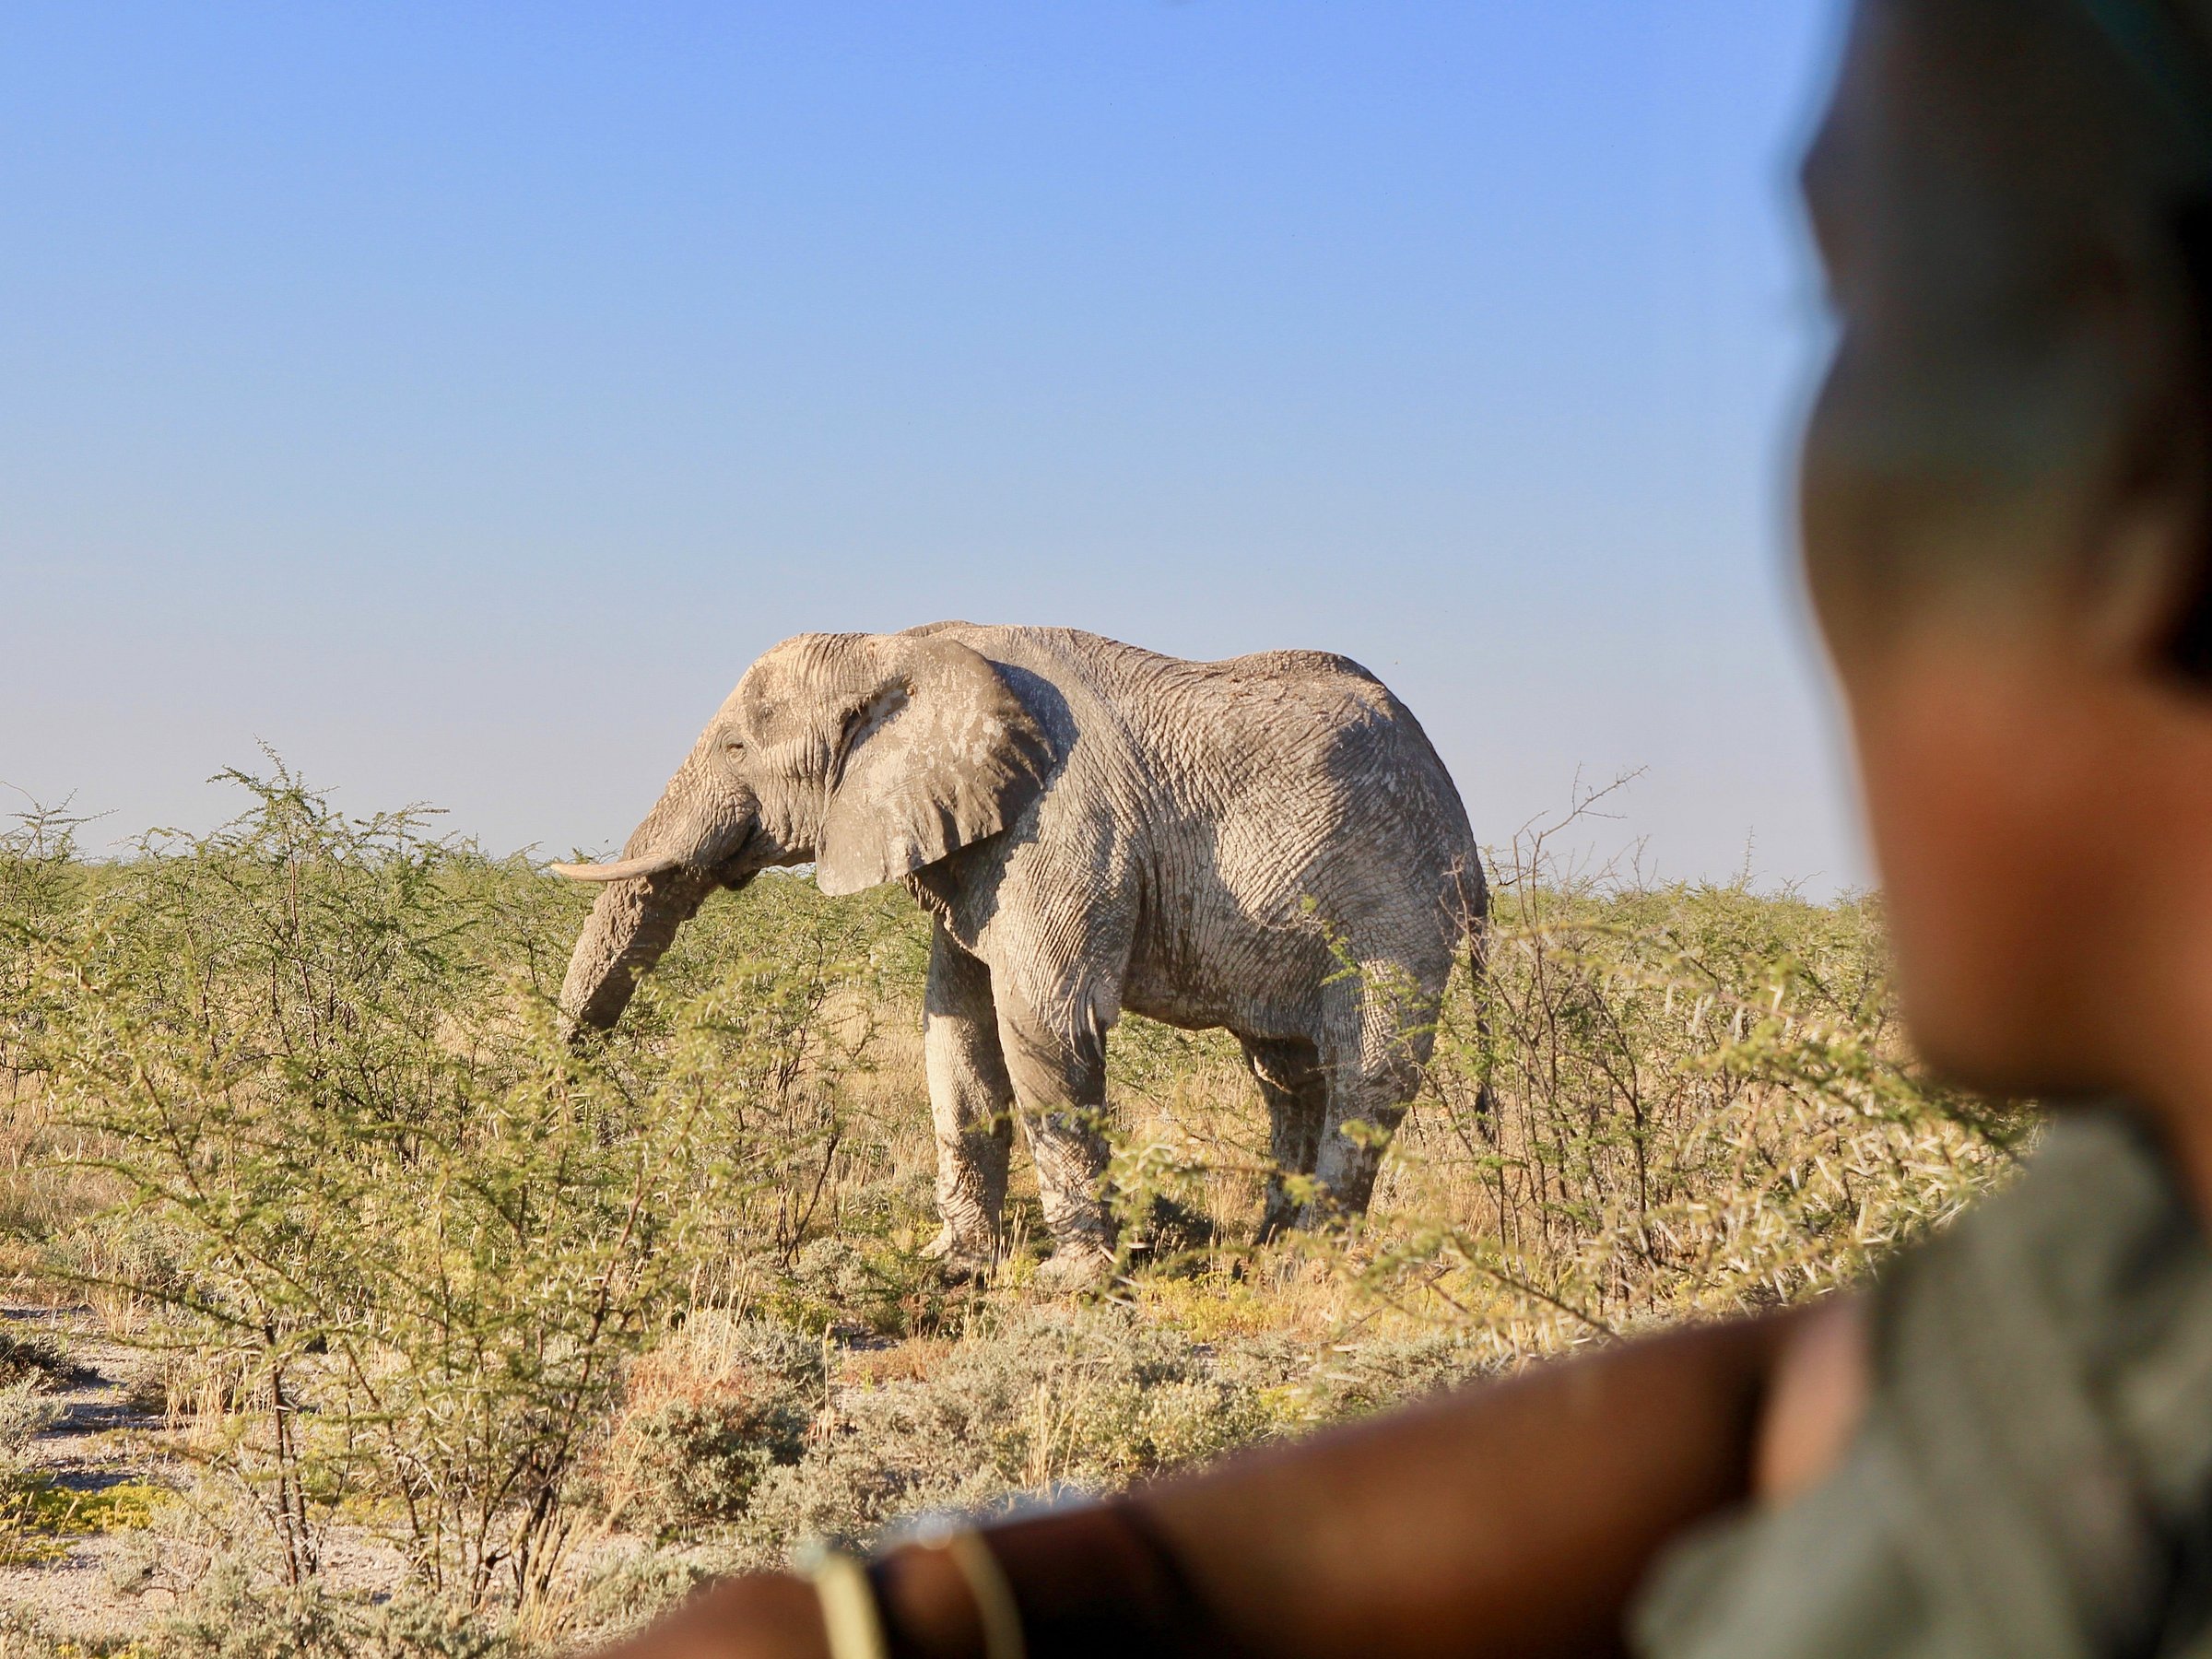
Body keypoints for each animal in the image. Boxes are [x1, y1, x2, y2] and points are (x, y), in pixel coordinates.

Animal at [550, 623, 1486, 1283]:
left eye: (737, 748)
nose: (566, 1119)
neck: (904, 644)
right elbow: (955, 1030)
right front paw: (956, 1265)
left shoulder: (1064, 825)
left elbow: (1043, 1022)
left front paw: (1071, 1283)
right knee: (1287, 1073)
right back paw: (1264, 1248)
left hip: (1398, 904)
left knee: (1367, 1072)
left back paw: (1306, 1267)